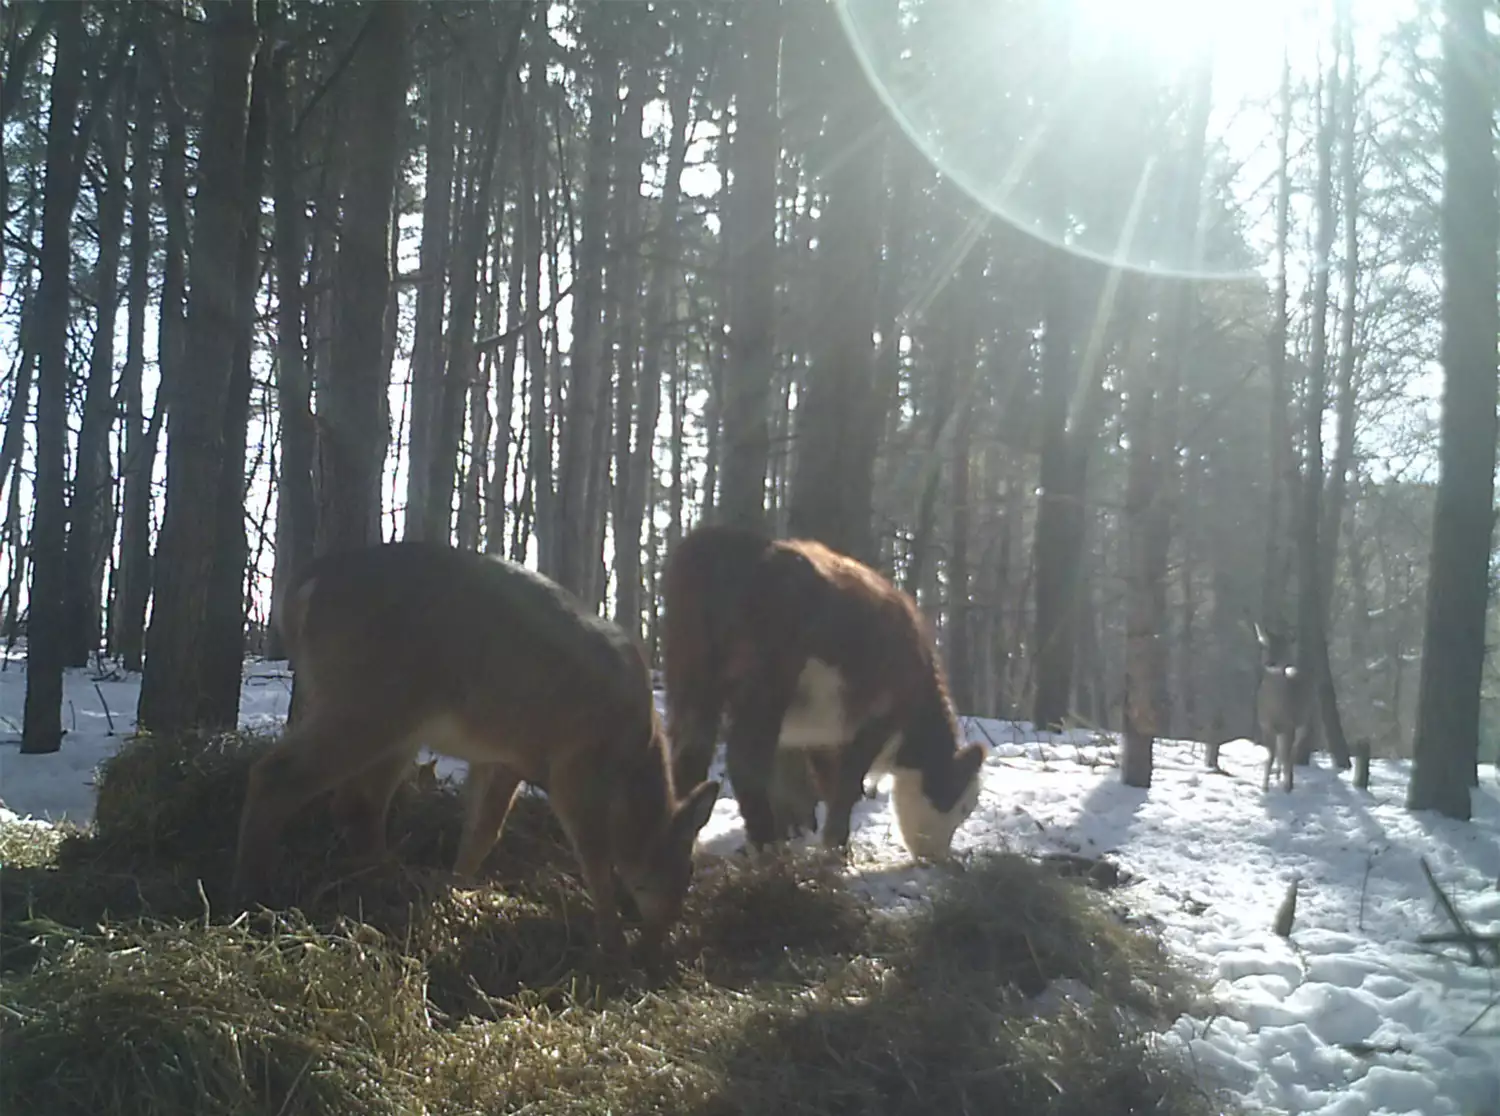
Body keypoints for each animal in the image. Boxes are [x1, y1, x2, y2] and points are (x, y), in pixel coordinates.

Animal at [232, 543, 720, 966]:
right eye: (687, 868)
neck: (632, 755)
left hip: (393, 723)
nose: (660, 942)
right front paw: (614, 948)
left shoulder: (501, 757)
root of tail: (305, 586)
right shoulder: (573, 765)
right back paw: (255, 893)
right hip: (371, 700)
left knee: (356, 803)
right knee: (276, 775)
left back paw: (387, 879)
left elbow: (482, 833)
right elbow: (595, 856)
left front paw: (455, 892)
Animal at [666, 522, 990, 864]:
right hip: (767, 685)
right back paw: (768, 847)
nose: (938, 856)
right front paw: (837, 848)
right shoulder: (878, 715)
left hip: (689, 674)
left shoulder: (823, 735)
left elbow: (829, 782)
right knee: (745, 758)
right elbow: (848, 782)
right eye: (963, 806)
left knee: (690, 749)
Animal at [1254, 618, 1314, 792]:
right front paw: (1265, 786)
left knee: (1292, 752)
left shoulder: (1290, 725)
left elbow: (1286, 756)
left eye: (1282, 649)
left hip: (1304, 723)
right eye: (1266, 646)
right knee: (1282, 753)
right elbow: (1271, 755)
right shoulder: (1265, 725)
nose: (1270, 662)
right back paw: (1278, 774)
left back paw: (1288, 780)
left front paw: (1287, 786)